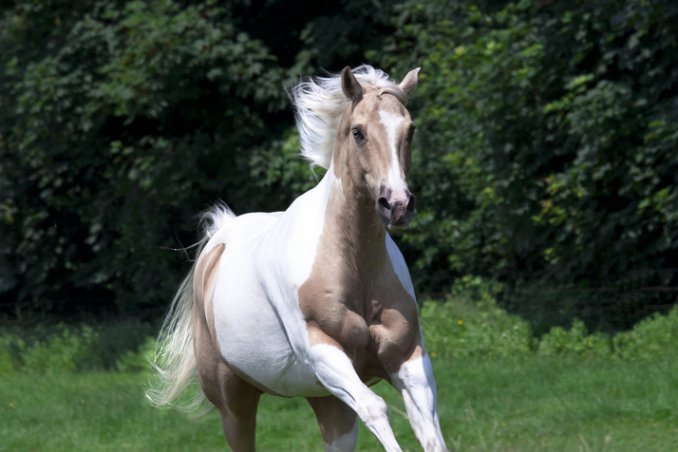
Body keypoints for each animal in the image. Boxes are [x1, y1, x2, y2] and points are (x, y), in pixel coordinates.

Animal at [148, 65, 448, 452]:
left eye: (410, 130)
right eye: (358, 132)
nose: (396, 204)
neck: (353, 267)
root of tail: (219, 239)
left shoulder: (408, 358)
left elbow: (428, 428)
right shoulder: (322, 352)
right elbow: (376, 407)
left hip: (328, 403)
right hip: (234, 402)